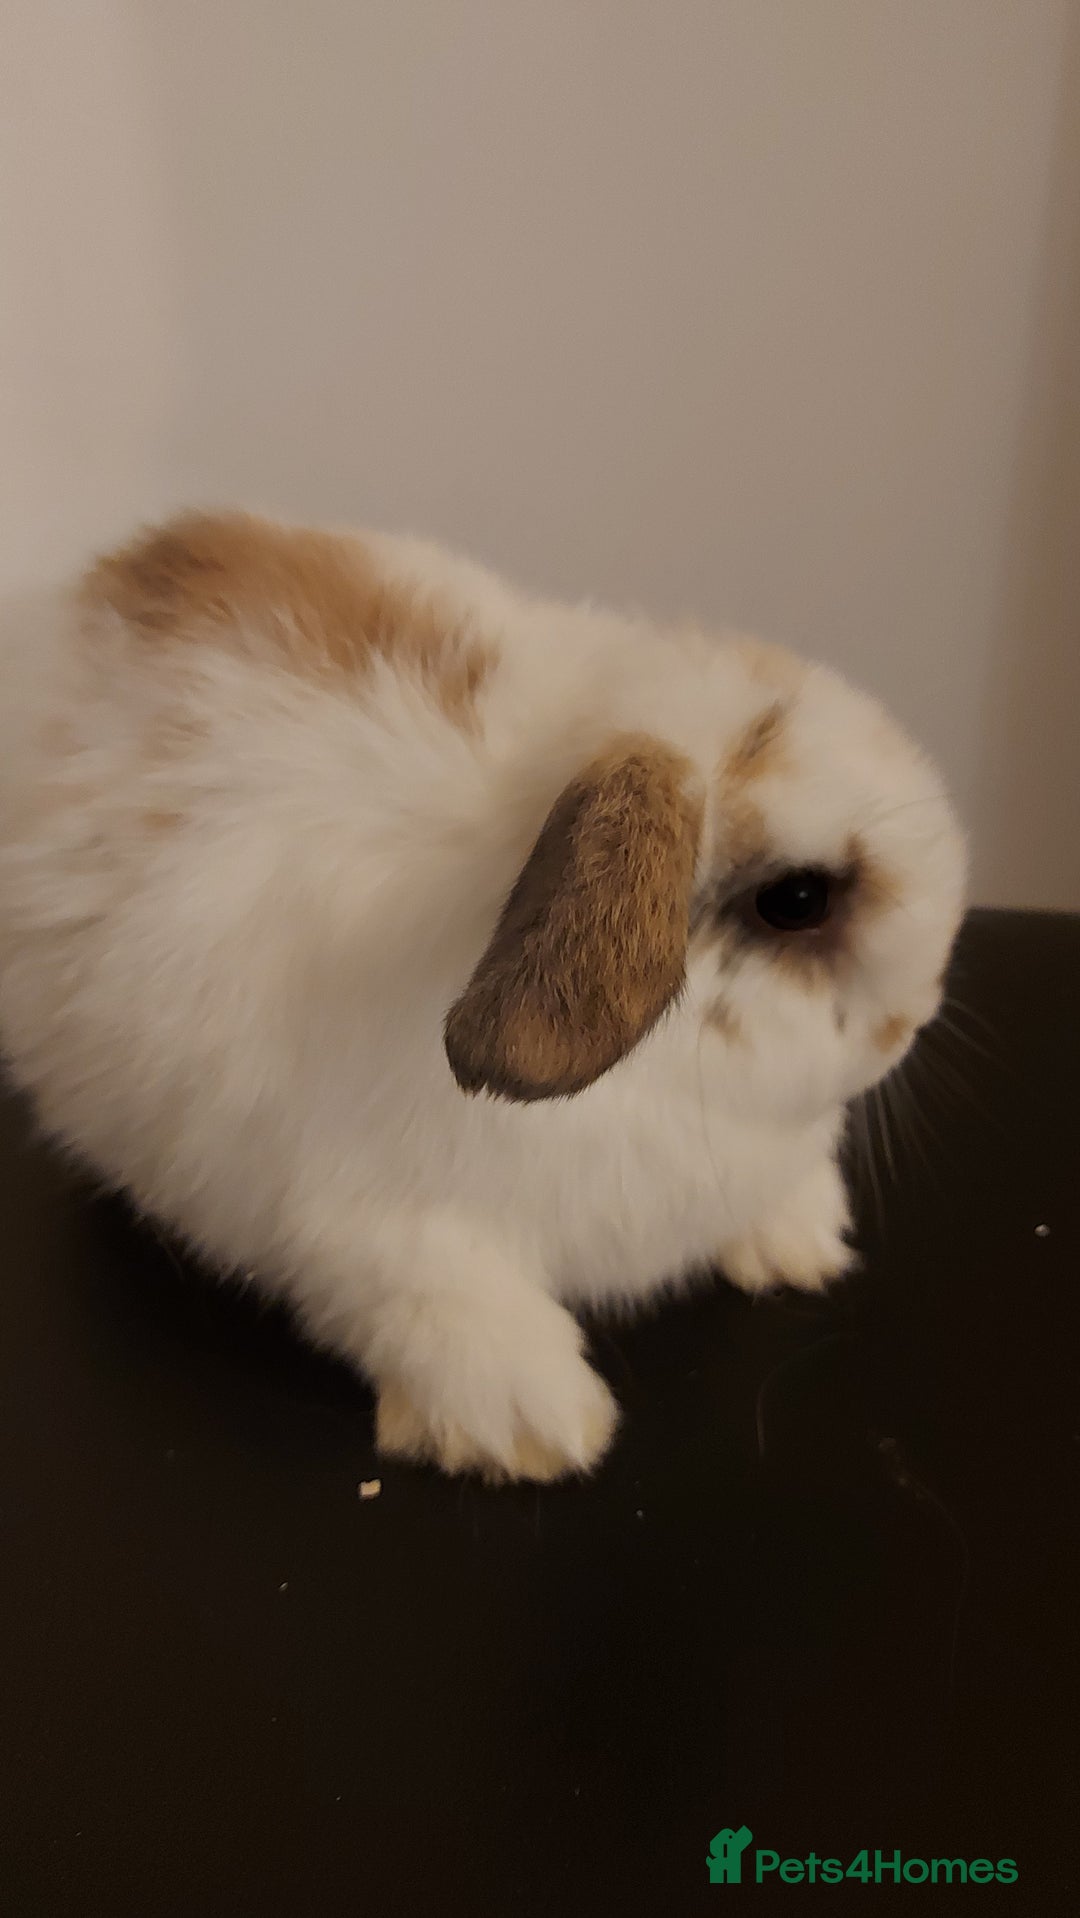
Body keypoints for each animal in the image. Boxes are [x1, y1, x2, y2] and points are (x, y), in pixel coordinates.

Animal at [0, 510, 966, 1482]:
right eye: (797, 900)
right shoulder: (377, 1231)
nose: (908, 1022)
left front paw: (804, 1245)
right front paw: (540, 1429)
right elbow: (453, 1314)